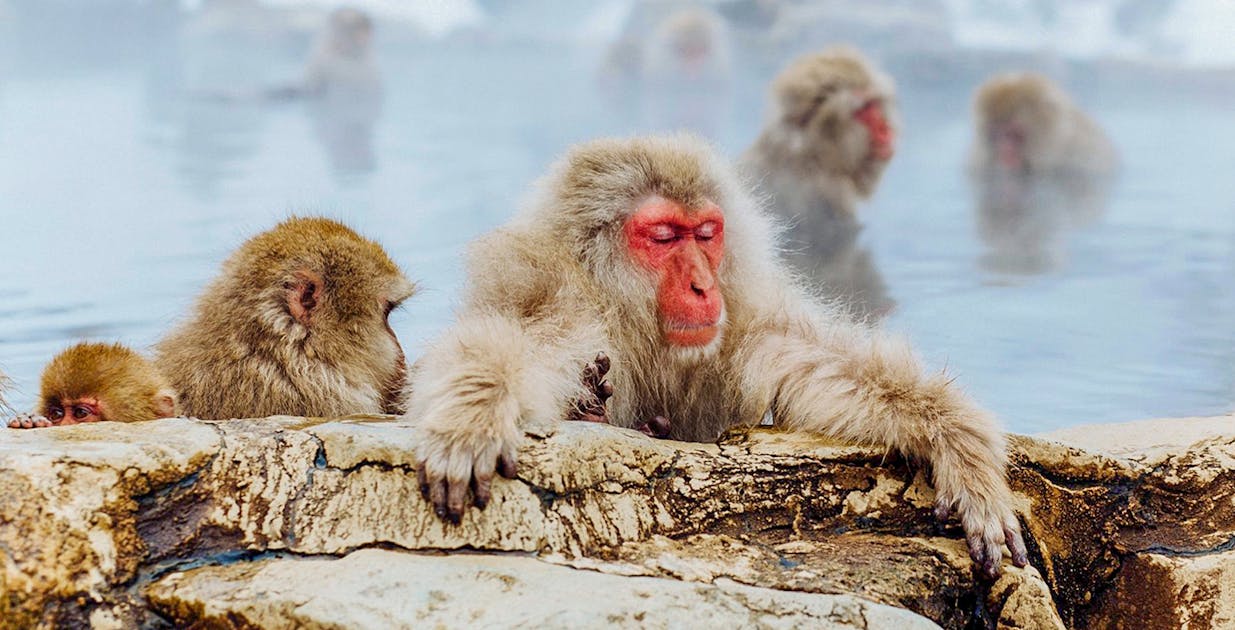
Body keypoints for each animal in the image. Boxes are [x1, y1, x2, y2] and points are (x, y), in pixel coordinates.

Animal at [407, 134, 1030, 578]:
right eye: (663, 236)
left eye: (706, 233)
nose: (704, 286)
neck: (631, 317)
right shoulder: (558, 298)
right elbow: (511, 347)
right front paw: (473, 414)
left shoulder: (742, 319)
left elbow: (819, 367)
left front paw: (959, 446)